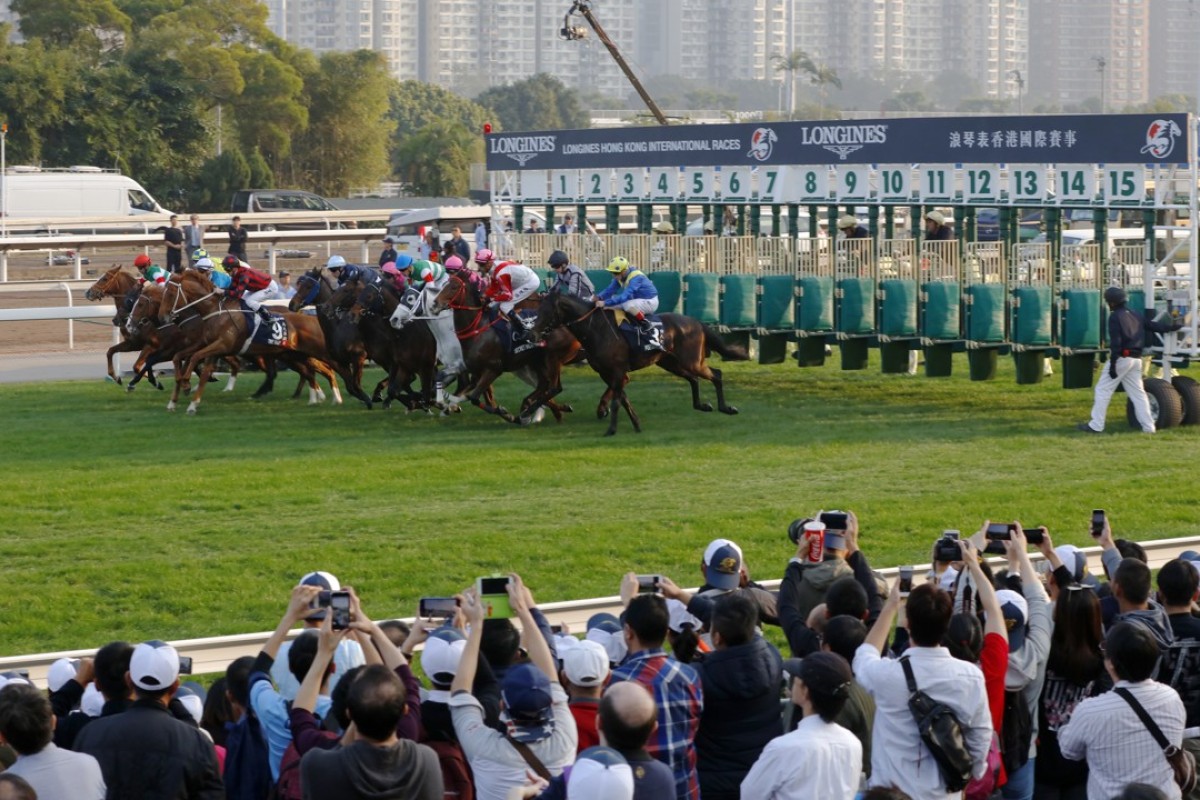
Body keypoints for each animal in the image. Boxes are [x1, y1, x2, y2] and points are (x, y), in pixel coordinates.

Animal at [530, 289, 744, 438]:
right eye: (538, 309)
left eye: (547, 311)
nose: (532, 333)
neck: (597, 329)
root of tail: (697, 322)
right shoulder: (606, 373)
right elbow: (623, 400)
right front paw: (637, 425)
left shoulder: (617, 371)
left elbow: (617, 401)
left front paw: (611, 429)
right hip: (670, 363)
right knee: (694, 379)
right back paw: (703, 405)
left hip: (691, 361)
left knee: (716, 374)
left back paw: (726, 408)